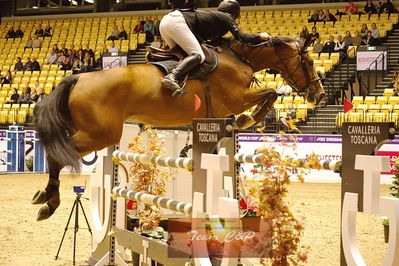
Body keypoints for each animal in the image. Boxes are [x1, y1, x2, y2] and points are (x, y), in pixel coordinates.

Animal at [31, 37, 324, 220]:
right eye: (309, 63)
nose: (318, 95)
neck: (239, 58)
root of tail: (78, 77)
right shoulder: (237, 99)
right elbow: (270, 93)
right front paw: (247, 120)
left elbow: (269, 93)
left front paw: (244, 120)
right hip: (100, 134)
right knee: (58, 155)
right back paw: (49, 203)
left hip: (89, 131)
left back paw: (44, 196)